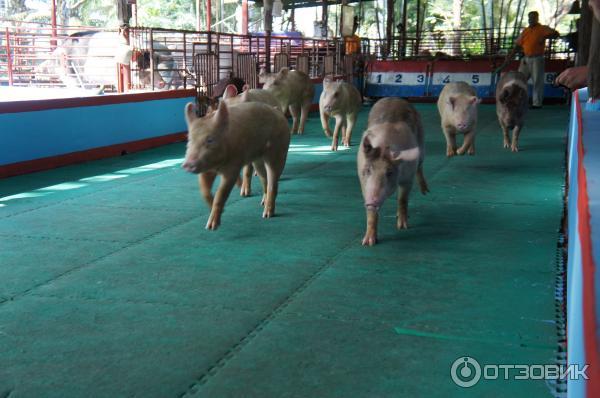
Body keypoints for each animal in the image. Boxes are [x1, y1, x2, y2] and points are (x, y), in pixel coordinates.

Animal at [183, 100, 290, 230]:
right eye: (189, 140)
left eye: (210, 140)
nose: (187, 164)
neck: (218, 165)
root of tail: (279, 113)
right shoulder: (206, 170)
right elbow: (204, 191)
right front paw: (214, 217)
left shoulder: (233, 167)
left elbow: (221, 193)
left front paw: (211, 226)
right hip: (257, 160)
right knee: (264, 179)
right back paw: (262, 202)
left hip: (278, 152)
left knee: (273, 182)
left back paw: (267, 214)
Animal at [358, 97, 428, 246]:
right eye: (368, 170)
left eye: (389, 172)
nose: (372, 201)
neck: (385, 146)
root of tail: (396, 98)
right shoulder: (363, 183)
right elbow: (371, 213)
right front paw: (368, 242)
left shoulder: (407, 178)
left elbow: (403, 199)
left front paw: (402, 226)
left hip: (421, 144)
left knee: (420, 166)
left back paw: (425, 191)